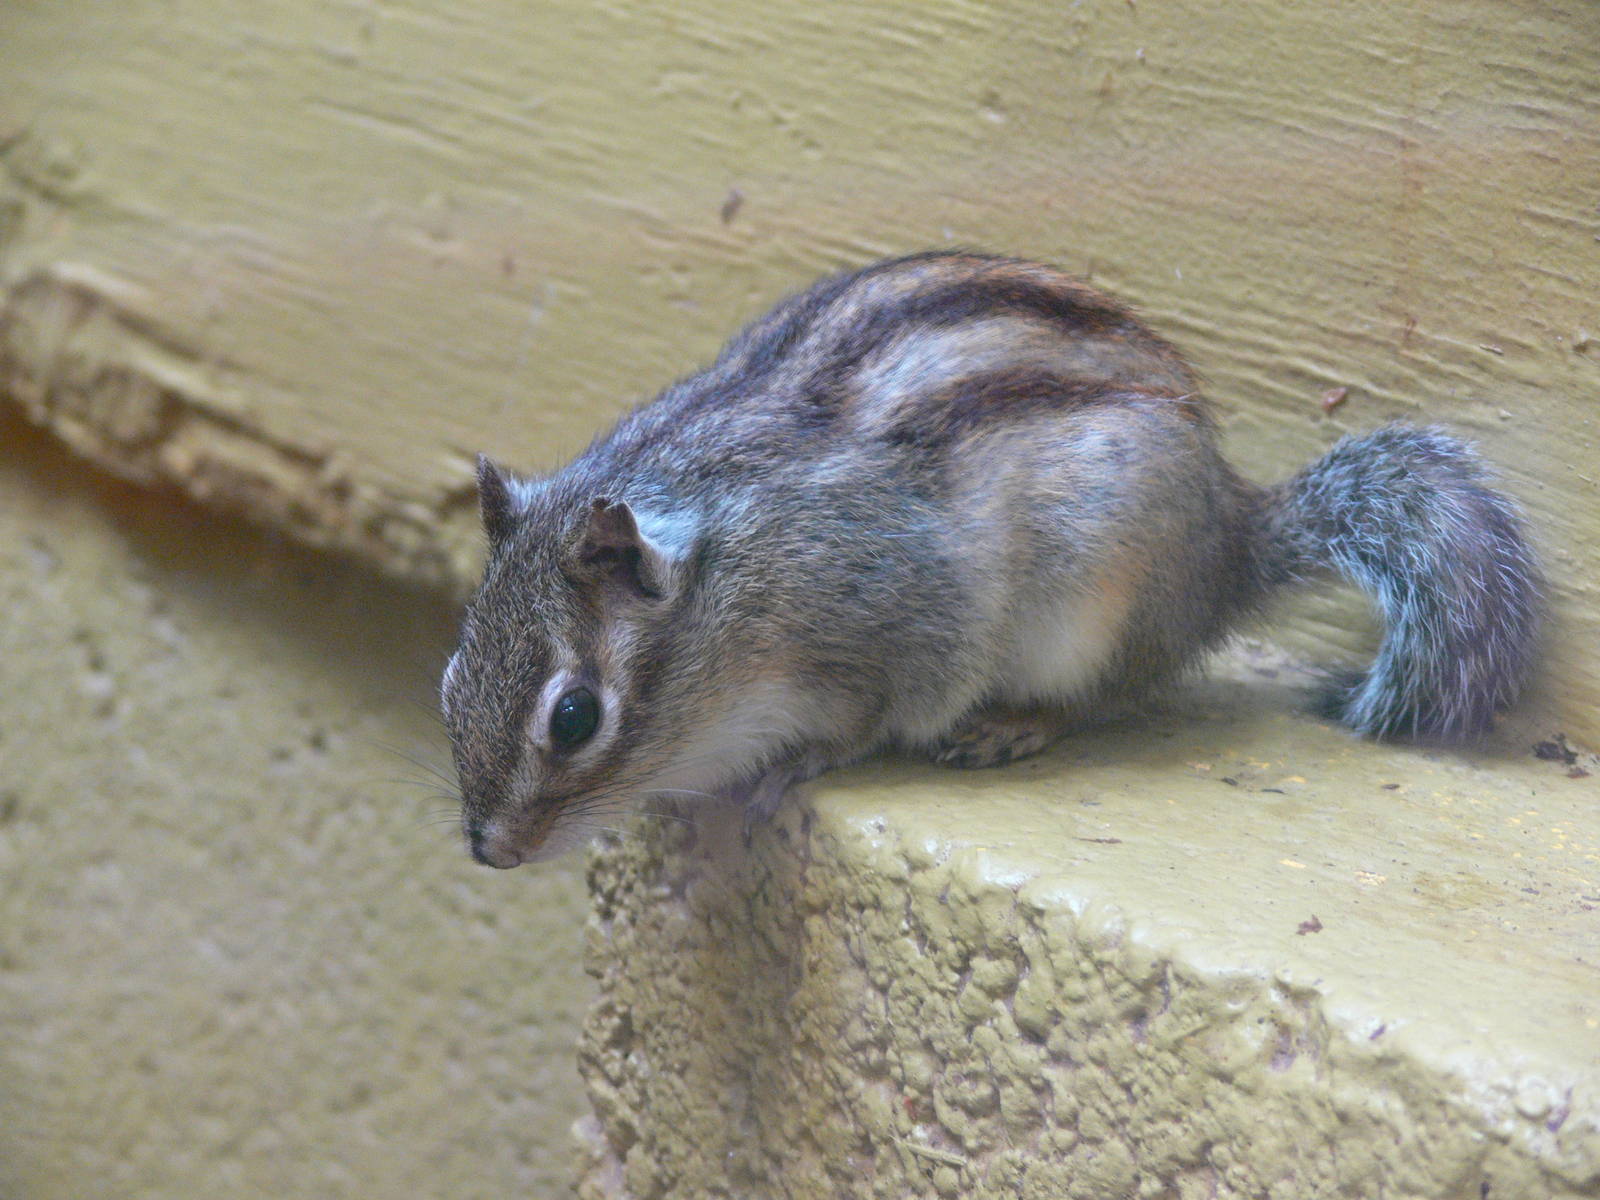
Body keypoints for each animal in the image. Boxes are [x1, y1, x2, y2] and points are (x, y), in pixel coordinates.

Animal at [440, 251, 1542, 868]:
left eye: (574, 719)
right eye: (449, 680)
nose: (489, 853)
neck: (733, 579)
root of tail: (1232, 543)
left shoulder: (901, 622)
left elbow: (864, 718)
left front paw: (788, 768)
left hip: (1093, 604)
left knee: (1106, 696)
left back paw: (1013, 726)